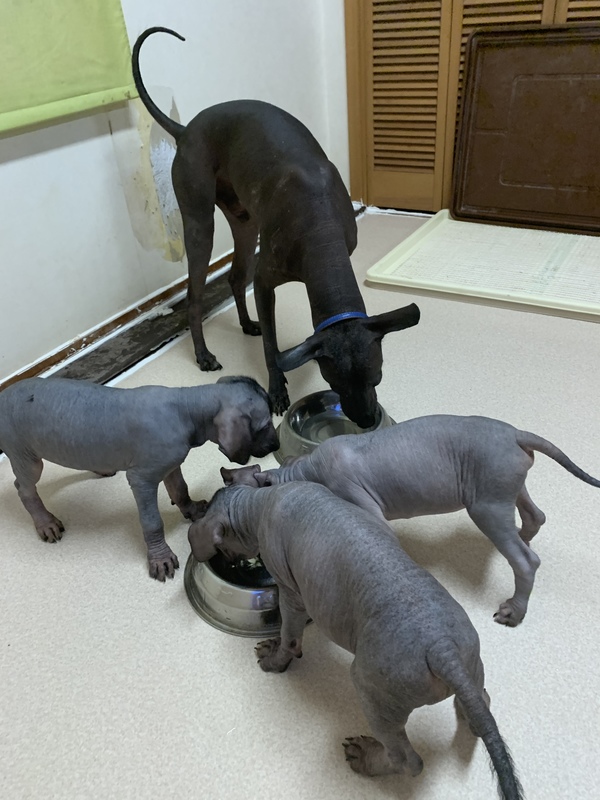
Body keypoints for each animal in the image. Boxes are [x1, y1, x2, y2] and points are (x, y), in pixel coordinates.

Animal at [0, 376, 278, 580]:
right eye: (265, 426)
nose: (276, 444)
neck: (186, 408)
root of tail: (4, 394)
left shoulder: (170, 463)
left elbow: (180, 488)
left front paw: (191, 509)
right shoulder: (141, 479)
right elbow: (152, 522)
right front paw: (160, 557)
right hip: (25, 455)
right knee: (23, 488)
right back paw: (44, 521)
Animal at [131, 27, 420, 428]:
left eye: (377, 376)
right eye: (335, 383)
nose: (365, 422)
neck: (320, 227)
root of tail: (186, 129)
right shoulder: (266, 281)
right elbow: (271, 346)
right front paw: (277, 390)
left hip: (245, 222)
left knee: (236, 276)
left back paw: (245, 323)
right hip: (199, 220)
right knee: (195, 295)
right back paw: (203, 354)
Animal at [188, 483, 523, 799]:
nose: (227, 560)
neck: (260, 502)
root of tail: (442, 649)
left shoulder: (290, 592)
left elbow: (290, 637)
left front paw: (274, 658)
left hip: (373, 692)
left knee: (408, 761)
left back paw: (366, 758)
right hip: (472, 663)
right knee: (480, 706)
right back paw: (470, 707)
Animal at [222, 413, 600, 626]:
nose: (234, 557)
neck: (305, 470)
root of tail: (515, 433)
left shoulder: (359, 501)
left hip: (486, 504)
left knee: (525, 561)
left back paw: (514, 610)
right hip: (506, 487)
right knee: (535, 517)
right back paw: (524, 536)